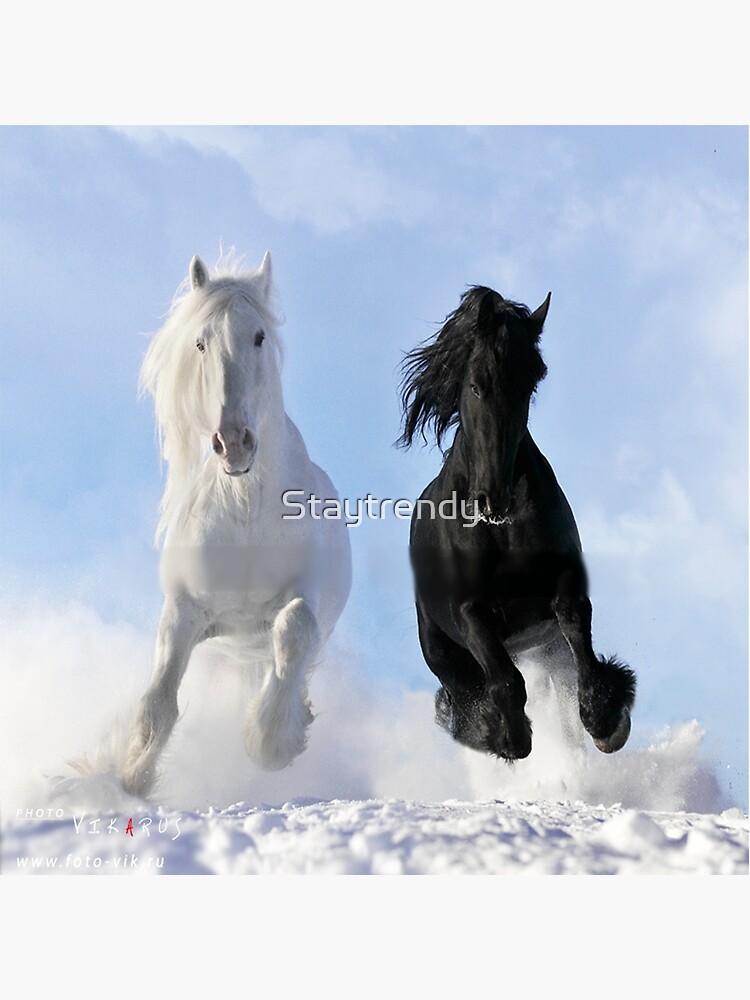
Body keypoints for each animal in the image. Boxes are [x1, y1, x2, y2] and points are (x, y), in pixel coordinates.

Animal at [122, 256, 352, 796]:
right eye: (201, 342)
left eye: (260, 336)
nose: (233, 442)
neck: (247, 510)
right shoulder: (184, 611)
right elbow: (157, 705)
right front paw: (128, 780)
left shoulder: (303, 597)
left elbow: (295, 628)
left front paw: (271, 742)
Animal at [396, 286, 636, 760]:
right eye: (476, 385)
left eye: (529, 386)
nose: (493, 498)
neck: (500, 530)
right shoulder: (470, 612)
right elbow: (505, 682)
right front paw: (508, 737)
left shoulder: (564, 585)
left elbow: (579, 640)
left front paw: (606, 720)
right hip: (441, 650)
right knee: (465, 693)